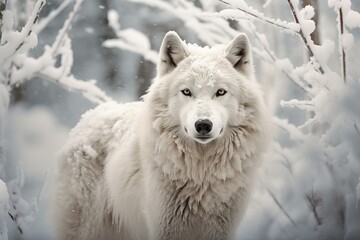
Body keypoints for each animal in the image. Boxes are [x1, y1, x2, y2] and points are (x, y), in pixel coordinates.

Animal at [54, 31, 270, 240]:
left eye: (220, 92)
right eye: (186, 92)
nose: (203, 125)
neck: (201, 174)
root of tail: (88, 117)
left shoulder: (220, 229)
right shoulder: (166, 225)